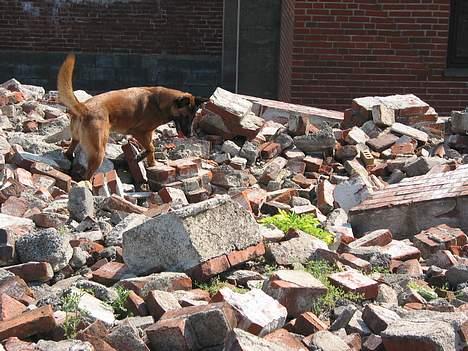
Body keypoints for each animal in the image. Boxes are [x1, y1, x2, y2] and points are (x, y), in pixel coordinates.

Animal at [56, 54, 207, 182]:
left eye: (193, 117)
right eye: (185, 117)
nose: (190, 135)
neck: (160, 102)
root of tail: (83, 107)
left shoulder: (148, 133)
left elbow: (151, 148)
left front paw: (152, 163)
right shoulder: (139, 132)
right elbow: (151, 148)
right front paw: (141, 157)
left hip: (78, 139)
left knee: (70, 150)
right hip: (99, 151)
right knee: (87, 174)